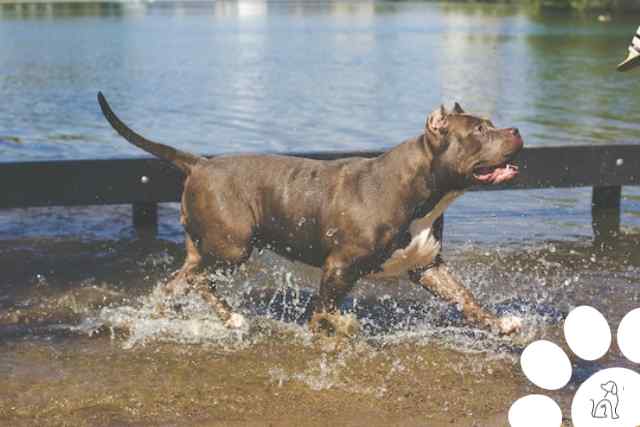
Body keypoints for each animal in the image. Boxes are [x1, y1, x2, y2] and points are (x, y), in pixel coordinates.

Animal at [97, 93, 524, 338]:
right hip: (232, 247)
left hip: (209, 247)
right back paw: (231, 319)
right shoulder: (339, 266)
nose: (517, 130)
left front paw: (498, 323)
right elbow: (325, 309)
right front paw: (333, 328)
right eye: (480, 130)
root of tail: (200, 164)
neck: (422, 188)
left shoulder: (427, 266)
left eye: (491, 124)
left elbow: (465, 298)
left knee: (178, 280)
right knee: (199, 279)